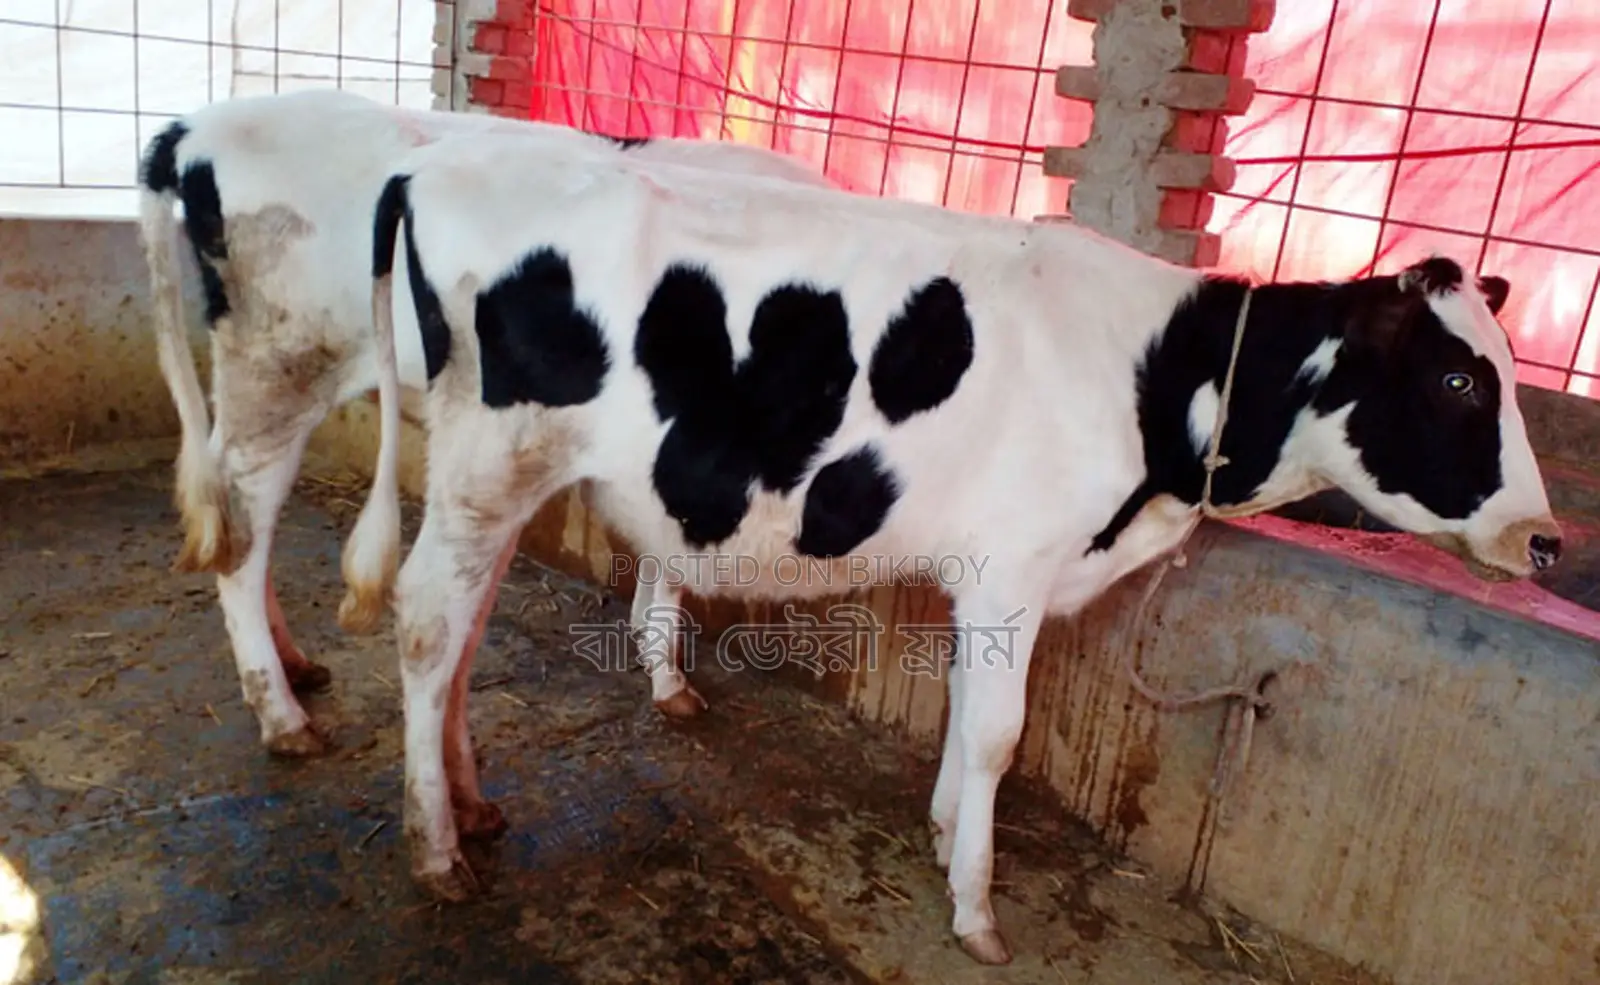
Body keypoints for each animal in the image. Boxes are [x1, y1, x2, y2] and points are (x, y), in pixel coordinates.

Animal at [134, 87, 836, 758]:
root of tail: (195, 128)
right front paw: (669, 679)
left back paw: (297, 666)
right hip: (282, 361)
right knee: (243, 519)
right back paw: (284, 719)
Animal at [368, 132, 1562, 965]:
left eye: (1505, 370)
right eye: (1459, 379)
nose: (1546, 538)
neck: (1157, 383)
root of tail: (436, 164)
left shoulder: (986, 574)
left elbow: (958, 704)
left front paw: (947, 840)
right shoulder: (1016, 567)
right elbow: (997, 734)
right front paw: (978, 906)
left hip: (498, 481)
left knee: (464, 634)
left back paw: (472, 804)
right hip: (488, 463)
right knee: (427, 626)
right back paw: (436, 846)